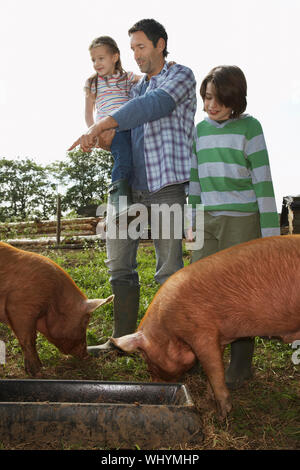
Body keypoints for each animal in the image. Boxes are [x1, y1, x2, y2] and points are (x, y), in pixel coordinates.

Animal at [112, 235, 300, 418]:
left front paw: (223, 414)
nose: (155, 384)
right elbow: (216, 369)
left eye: (146, 358)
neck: (168, 329)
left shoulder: (202, 333)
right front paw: (210, 400)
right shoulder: (220, 337)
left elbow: (213, 370)